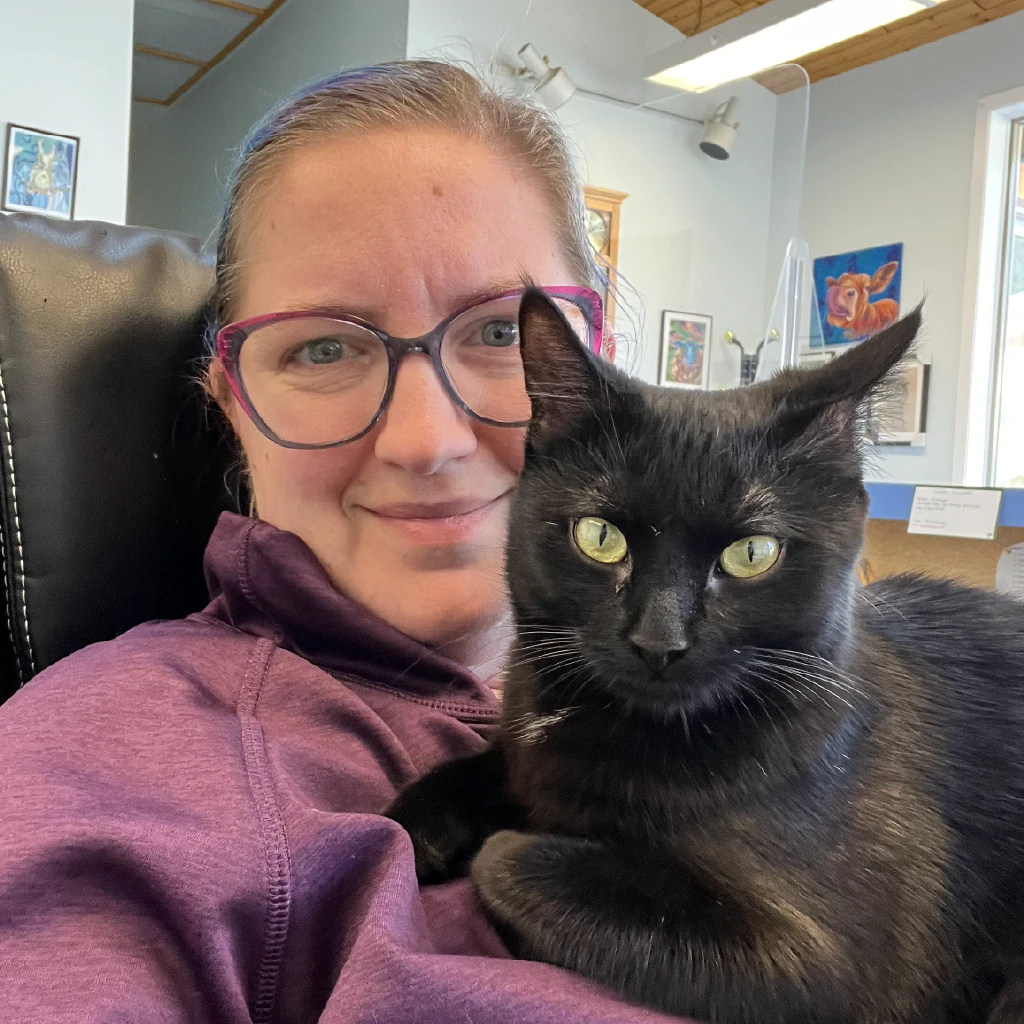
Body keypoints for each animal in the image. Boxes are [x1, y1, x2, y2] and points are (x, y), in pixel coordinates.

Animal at [388, 290, 1024, 1024]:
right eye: (599, 537)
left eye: (752, 553)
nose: (658, 642)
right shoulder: (522, 739)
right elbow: (478, 769)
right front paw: (412, 824)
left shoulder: (820, 966)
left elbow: (509, 860)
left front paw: (502, 842)